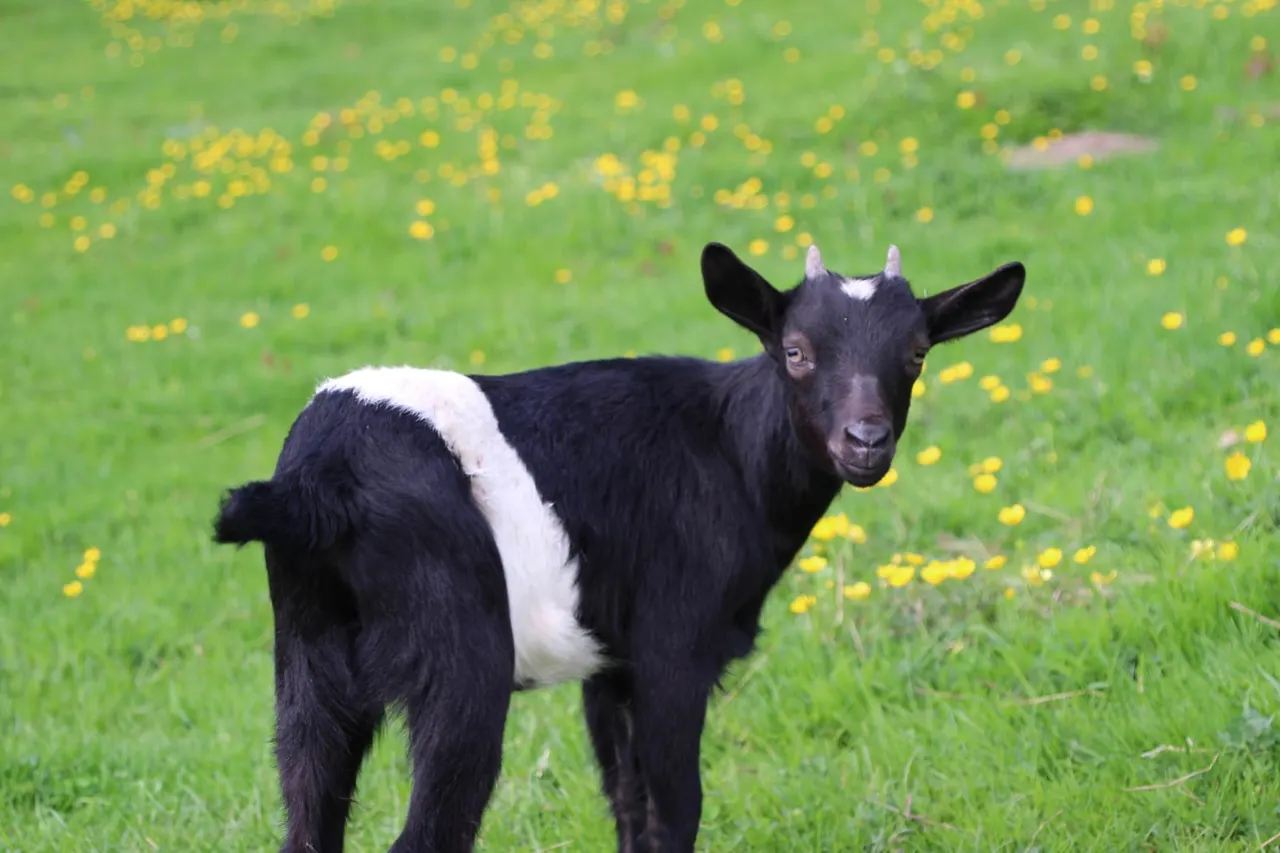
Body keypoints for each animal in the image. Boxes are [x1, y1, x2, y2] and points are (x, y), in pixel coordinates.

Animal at [212, 240, 1025, 853]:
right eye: (795, 350)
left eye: (916, 353)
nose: (866, 440)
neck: (730, 448)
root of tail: (320, 482)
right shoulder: (674, 650)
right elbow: (675, 812)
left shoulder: (612, 665)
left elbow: (629, 807)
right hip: (458, 659)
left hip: (308, 665)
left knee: (308, 814)